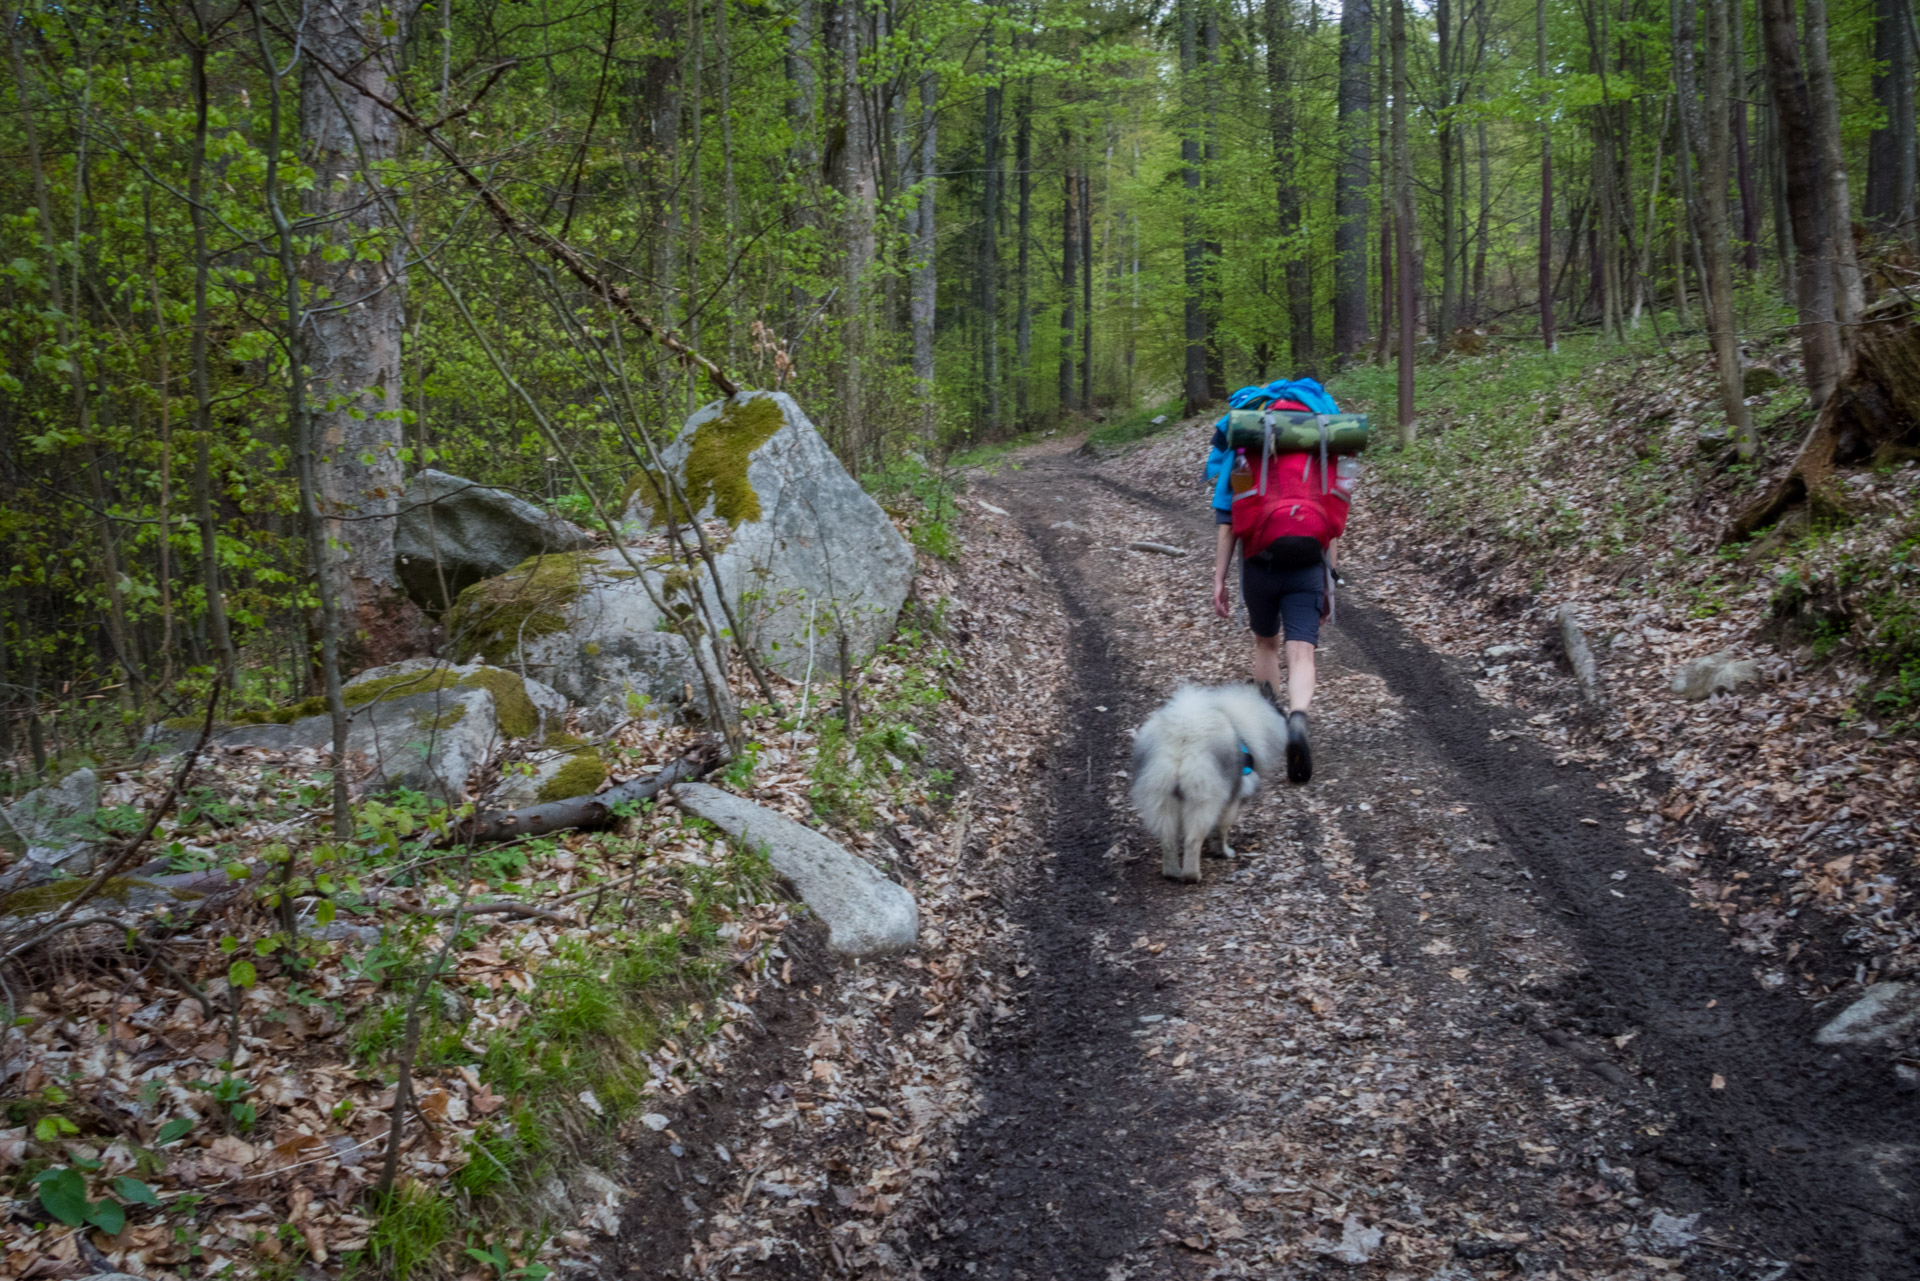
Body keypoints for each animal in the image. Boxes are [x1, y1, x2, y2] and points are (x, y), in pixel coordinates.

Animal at [1121, 687, 1290, 887]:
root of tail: (1182, 740)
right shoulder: (1232, 801)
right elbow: (1222, 830)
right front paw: (1224, 851)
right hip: (1202, 800)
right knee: (1192, 840)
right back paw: (1192, 875)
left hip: (1162, 799)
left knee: (1168, 840)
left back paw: (1171, 873)